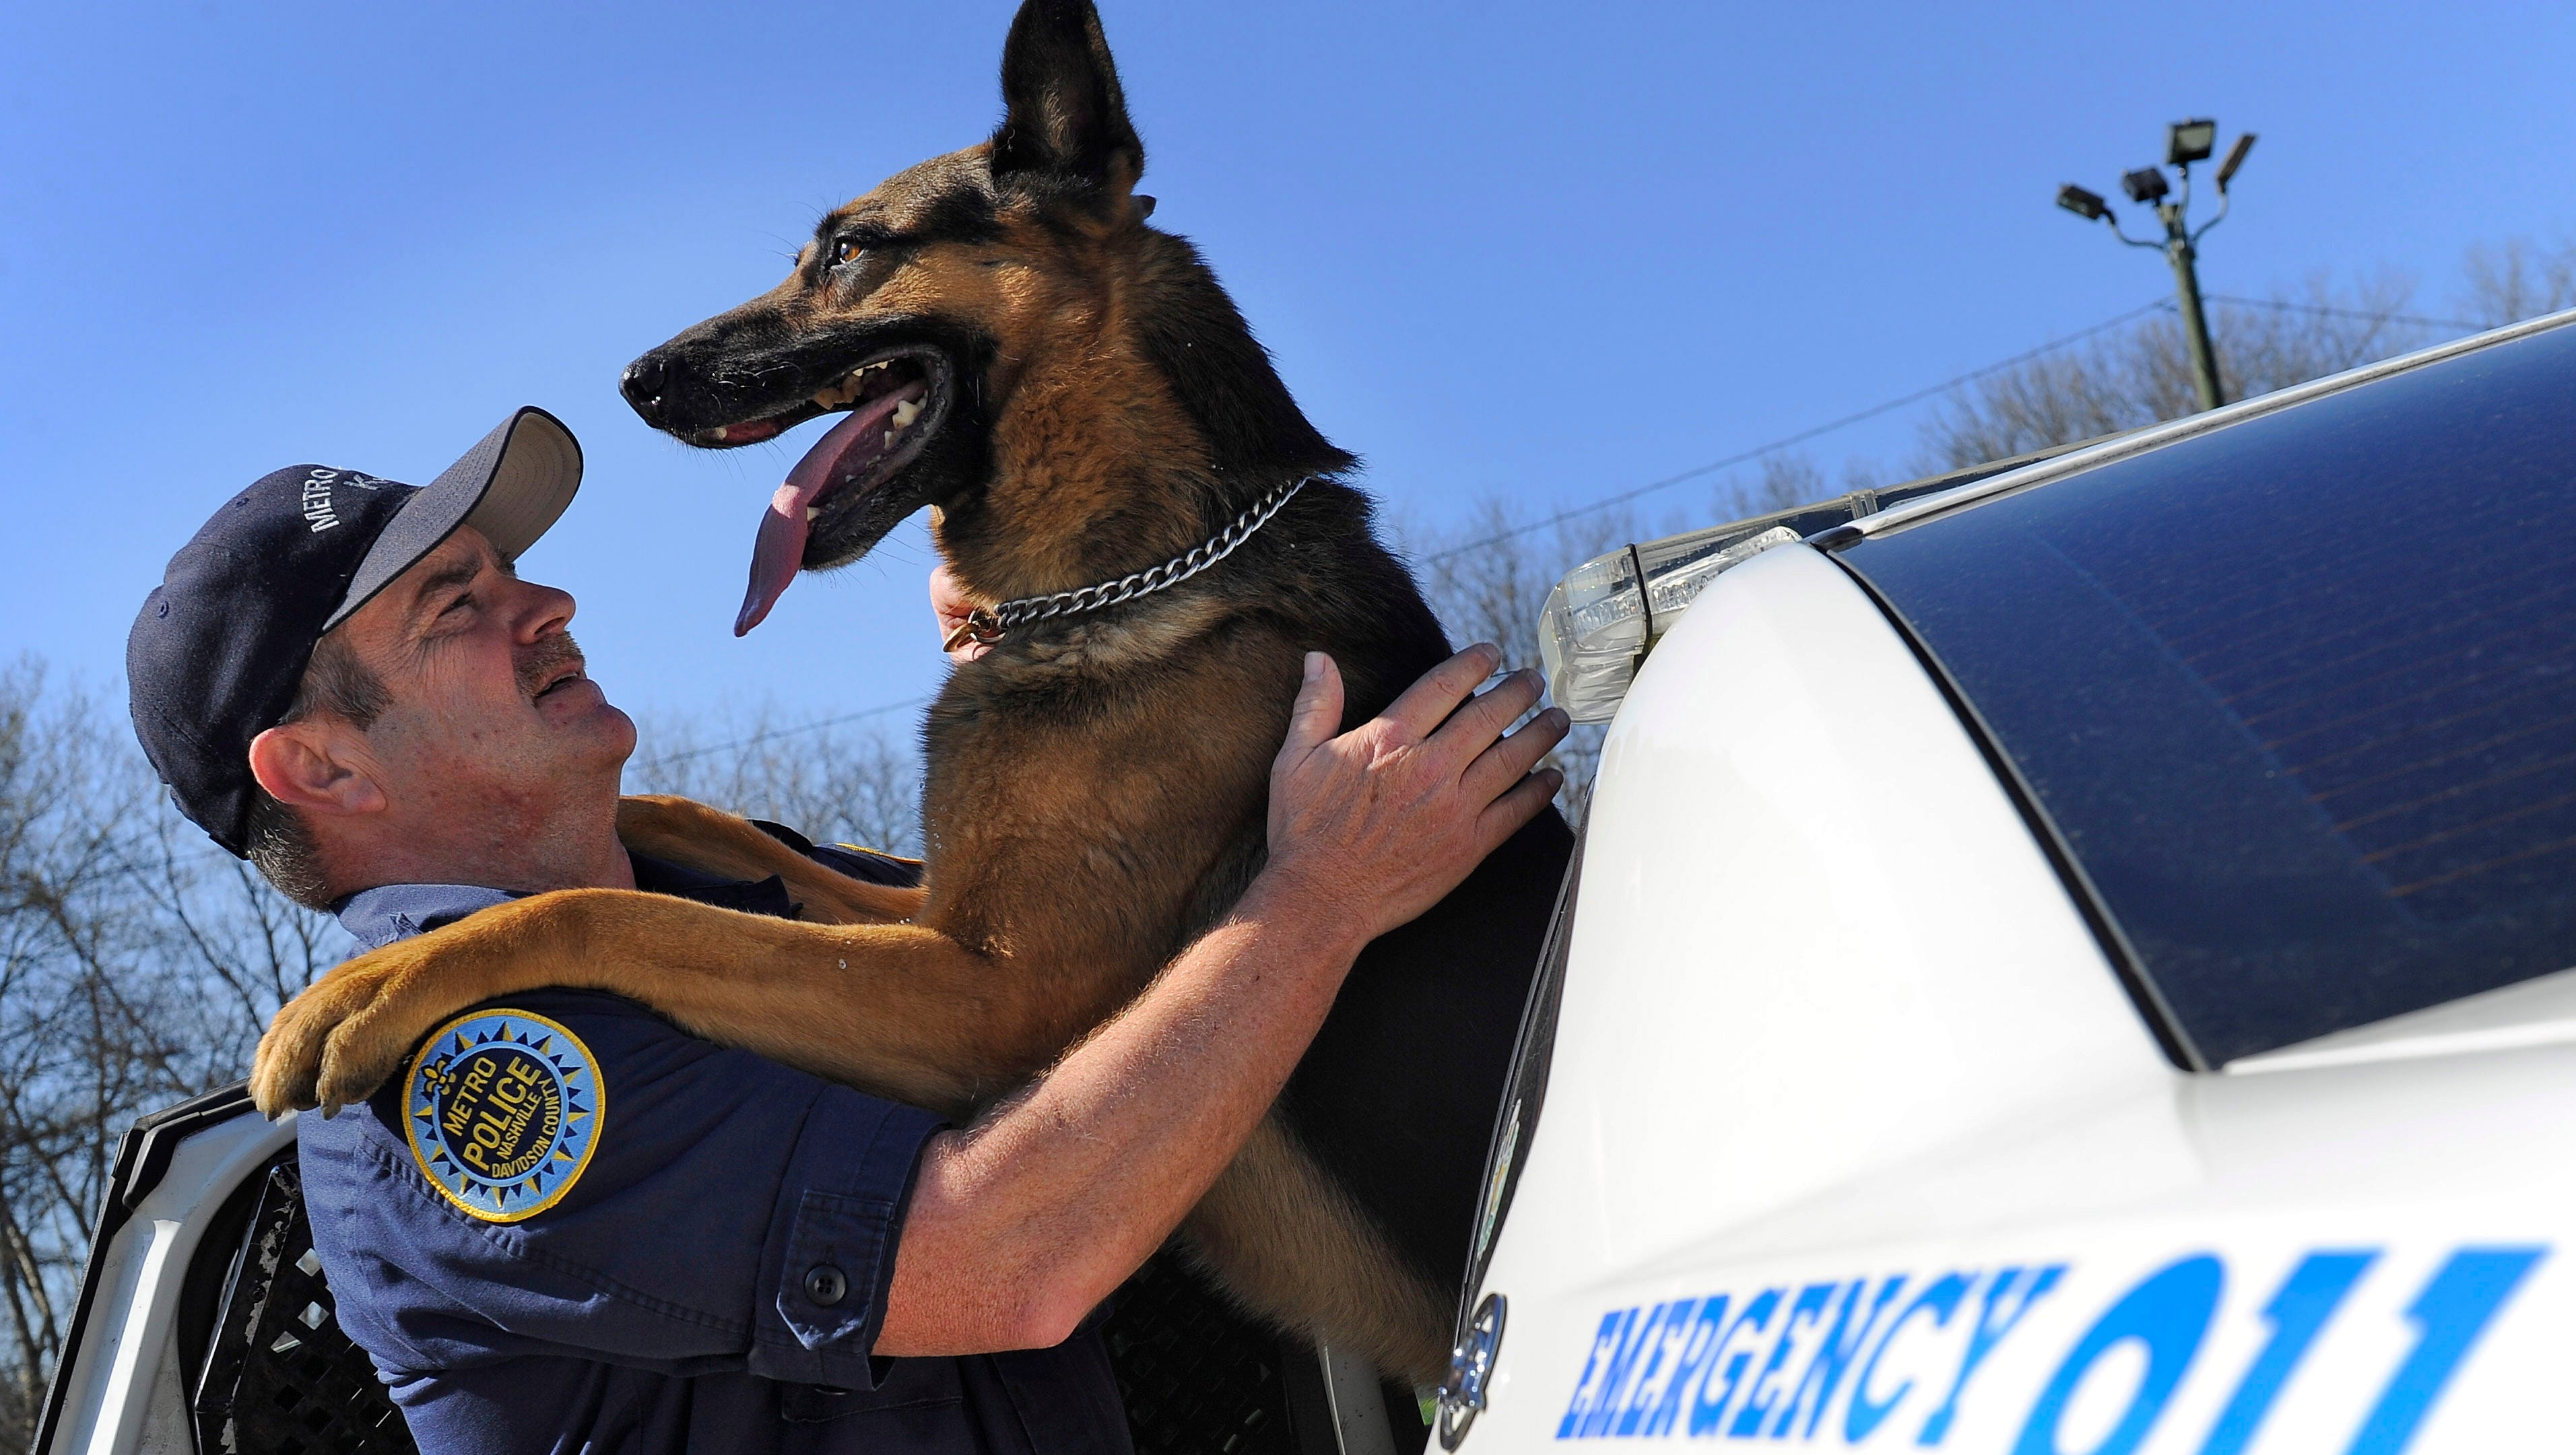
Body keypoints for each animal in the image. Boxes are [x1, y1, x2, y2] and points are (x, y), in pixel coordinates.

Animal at [251, 0, 1566, 1390]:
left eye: (848, 252)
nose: (634, 380)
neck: (1126, 579)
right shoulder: (940, 914)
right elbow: (737, 855)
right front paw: (643, 814)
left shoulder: (988, 993)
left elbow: (618, 915)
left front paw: (369, 987)